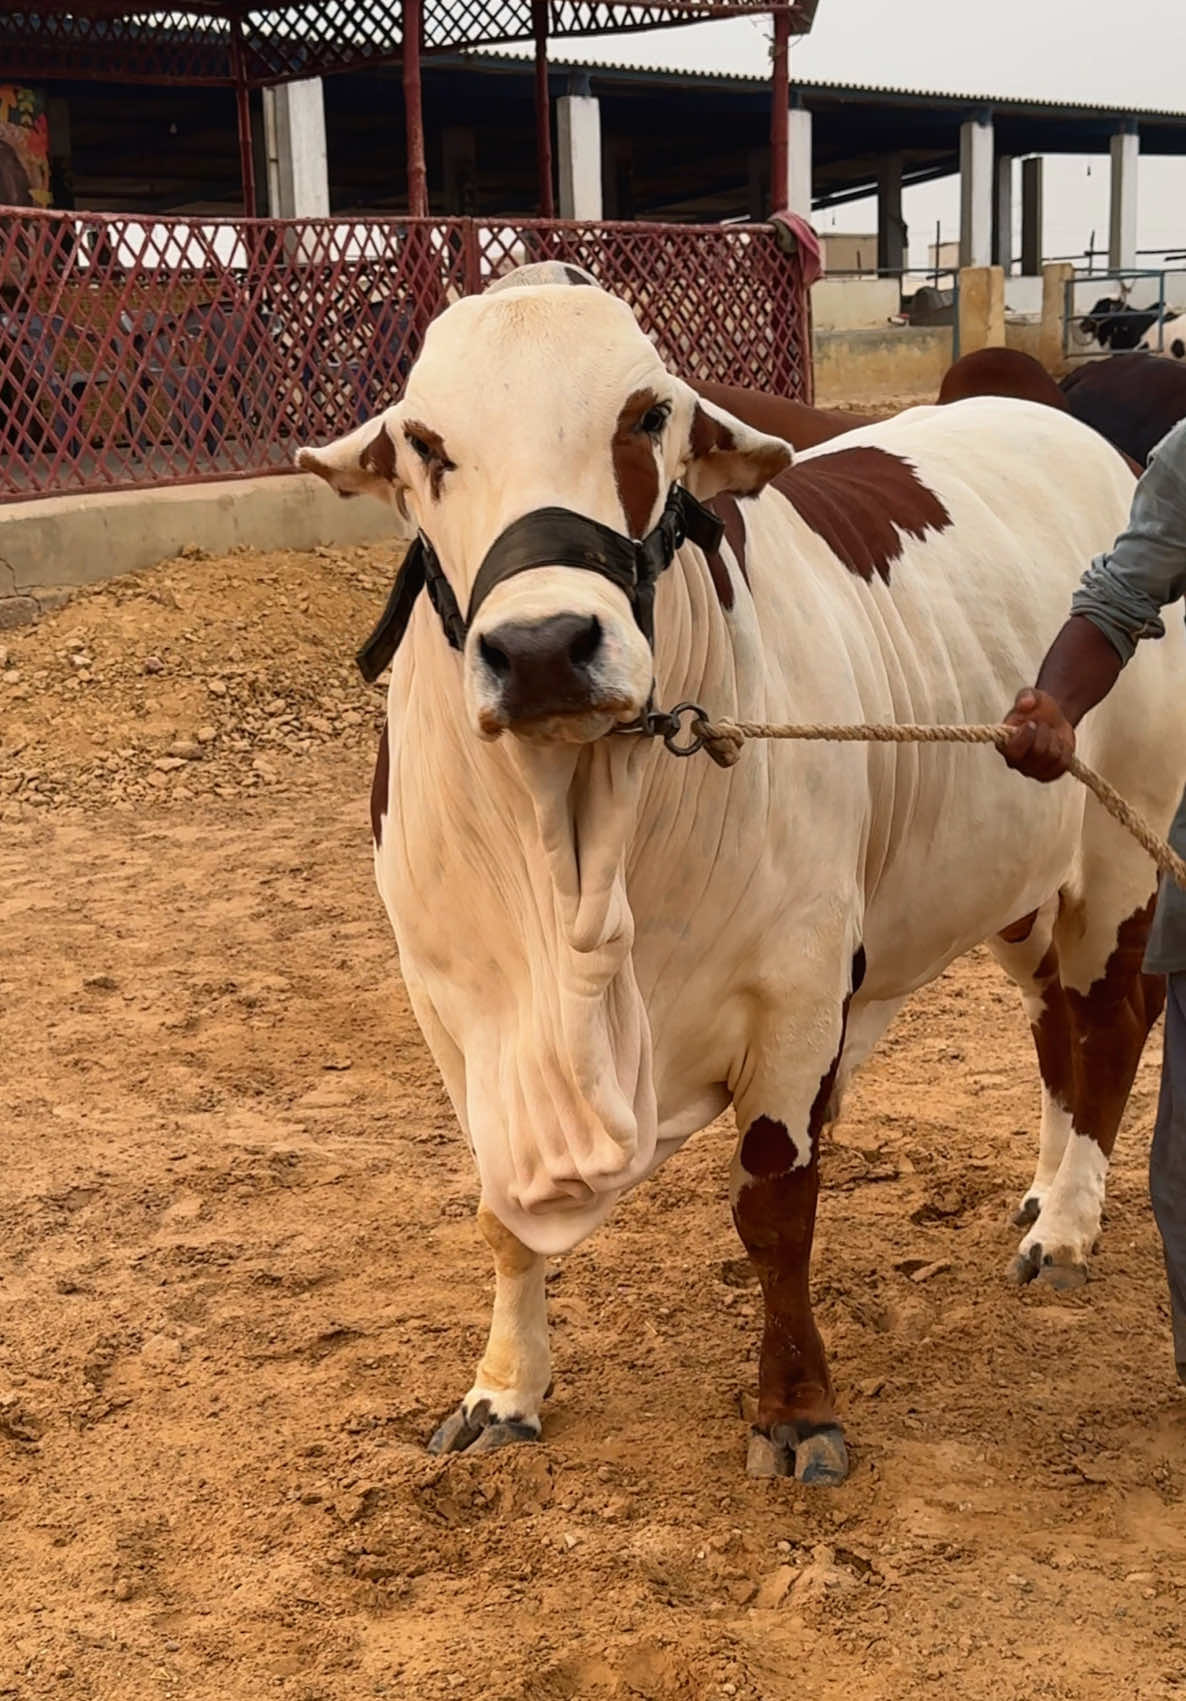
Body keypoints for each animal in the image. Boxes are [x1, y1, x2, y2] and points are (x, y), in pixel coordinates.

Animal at [297, 278, 1185, 1484]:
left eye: (647, 416)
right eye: (427, 443)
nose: (543, 647)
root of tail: (1066, 426)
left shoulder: (798, 1000)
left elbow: (776, 1211)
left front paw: (796, 1410)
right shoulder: (455, 1013)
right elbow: (498, 1212)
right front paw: (502, 1389)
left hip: (1121, 851)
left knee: (1108, 1022)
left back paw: (1070, 1224)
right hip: (1011, 879)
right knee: (1053, 1026)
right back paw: (1047, 1189)